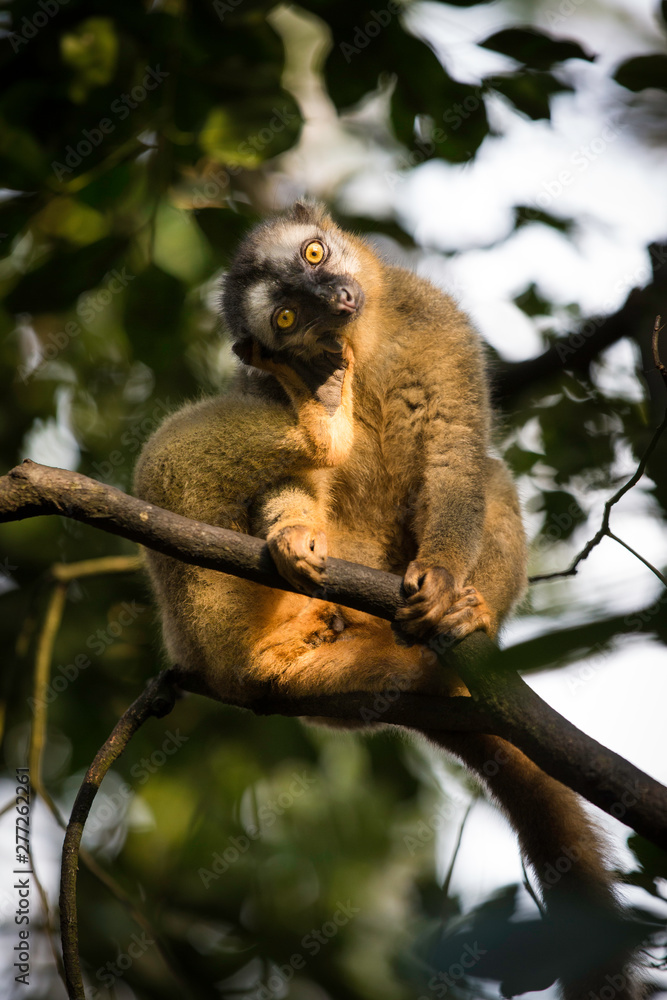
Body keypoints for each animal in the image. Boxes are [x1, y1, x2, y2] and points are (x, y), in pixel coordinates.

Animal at [133, 202, 643, 999]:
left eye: (314, 255)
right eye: (287, 314)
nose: (337, 298)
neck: (362, 343)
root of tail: (246, 679)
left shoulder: (439, 322)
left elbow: (455, 450)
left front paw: (441, 577)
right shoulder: (257, 375)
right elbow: (288, 480)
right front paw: (291, 531)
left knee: (488, 476)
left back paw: (466, 619)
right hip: (211, 610)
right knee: (181, 459)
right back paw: (322, 429)